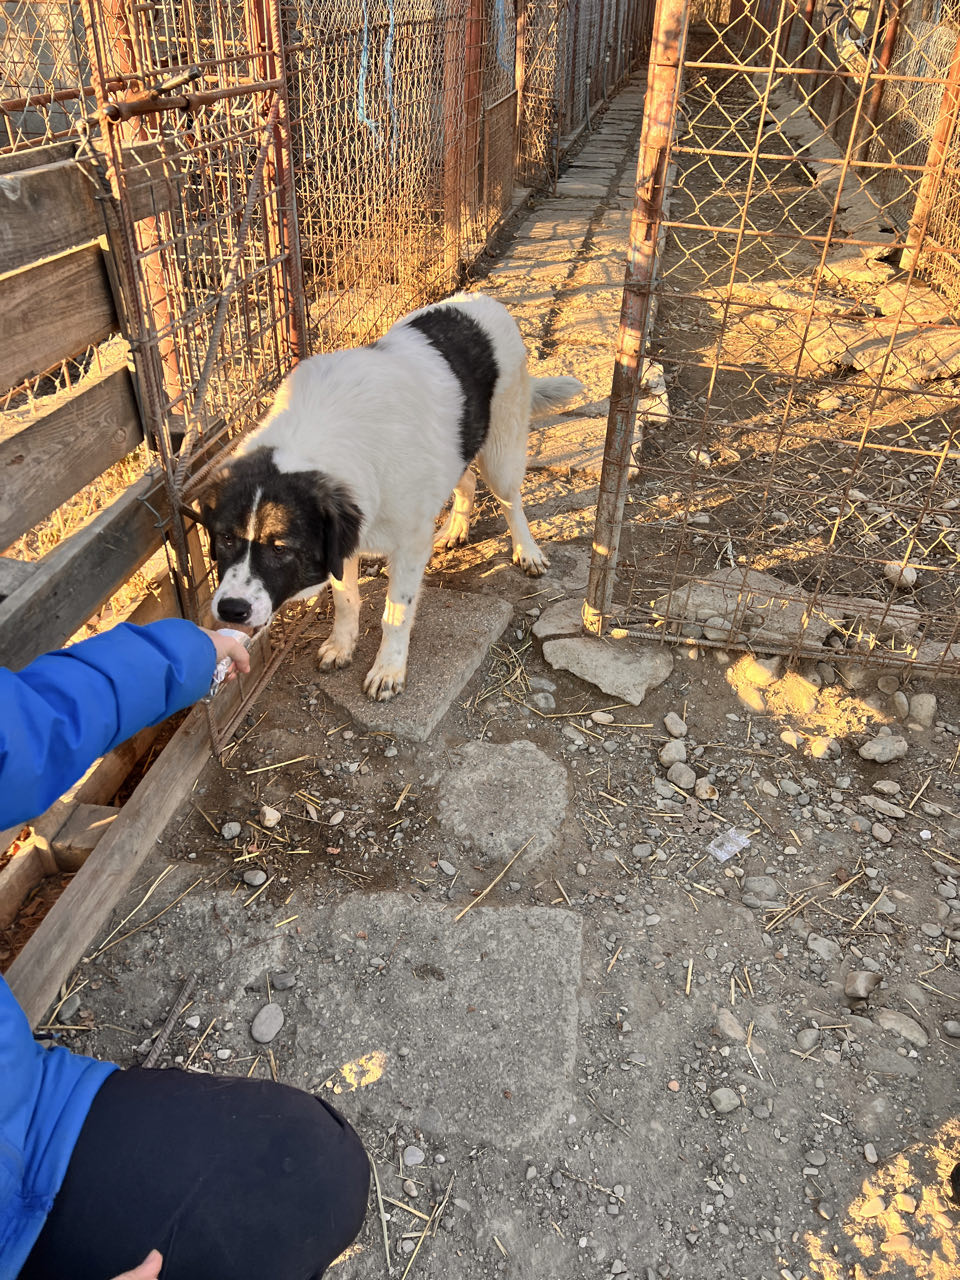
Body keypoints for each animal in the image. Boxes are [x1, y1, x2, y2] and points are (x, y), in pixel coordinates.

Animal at [202, 293, 582, 700]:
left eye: (280, 547)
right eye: (225, 538)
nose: (231, 610)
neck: (317, 437)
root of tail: (482, 299)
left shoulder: (409, 548)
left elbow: (395, 614)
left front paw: (388, 669)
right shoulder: (344, 543)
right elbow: (345, 600)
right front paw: (342, 645)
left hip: (501, 453)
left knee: (511, 502)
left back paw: (527, 551)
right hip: (456, 451)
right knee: (466, 482)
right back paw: (455, 528)